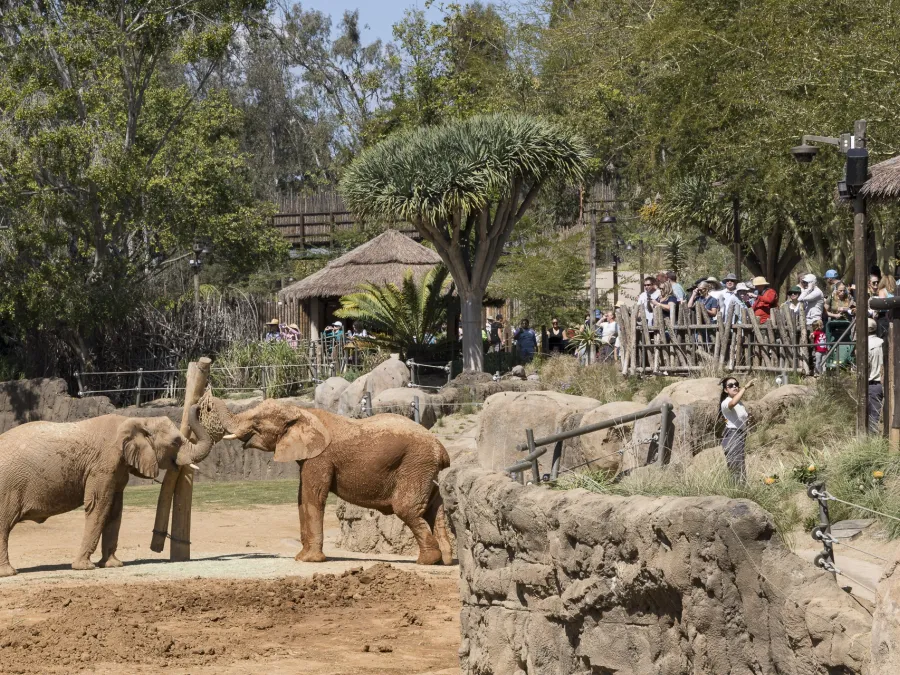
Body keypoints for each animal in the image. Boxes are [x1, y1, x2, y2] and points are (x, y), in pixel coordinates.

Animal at [0, 406, 211, 577]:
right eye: (175, 442)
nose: (200, 406)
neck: (136, 421)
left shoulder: (118, 468)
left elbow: (115, 510)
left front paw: (112, 565)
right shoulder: (103, 465)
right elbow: (99, 506)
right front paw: (84, 567)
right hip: (8, 486)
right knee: (4, 524)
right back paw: (9, 573)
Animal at [206, 397, 453, 565]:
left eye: (257, 422)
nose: (206, 402)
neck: (302, 412)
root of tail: (442, 449)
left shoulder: (321, 457)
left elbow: (312, 496)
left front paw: (309, 560)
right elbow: (301, 498)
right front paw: (301, 557)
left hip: (415, 464)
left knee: (407, 509)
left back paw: (427, 560)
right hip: (425, 470)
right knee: (435, 508)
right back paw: (445, 560)